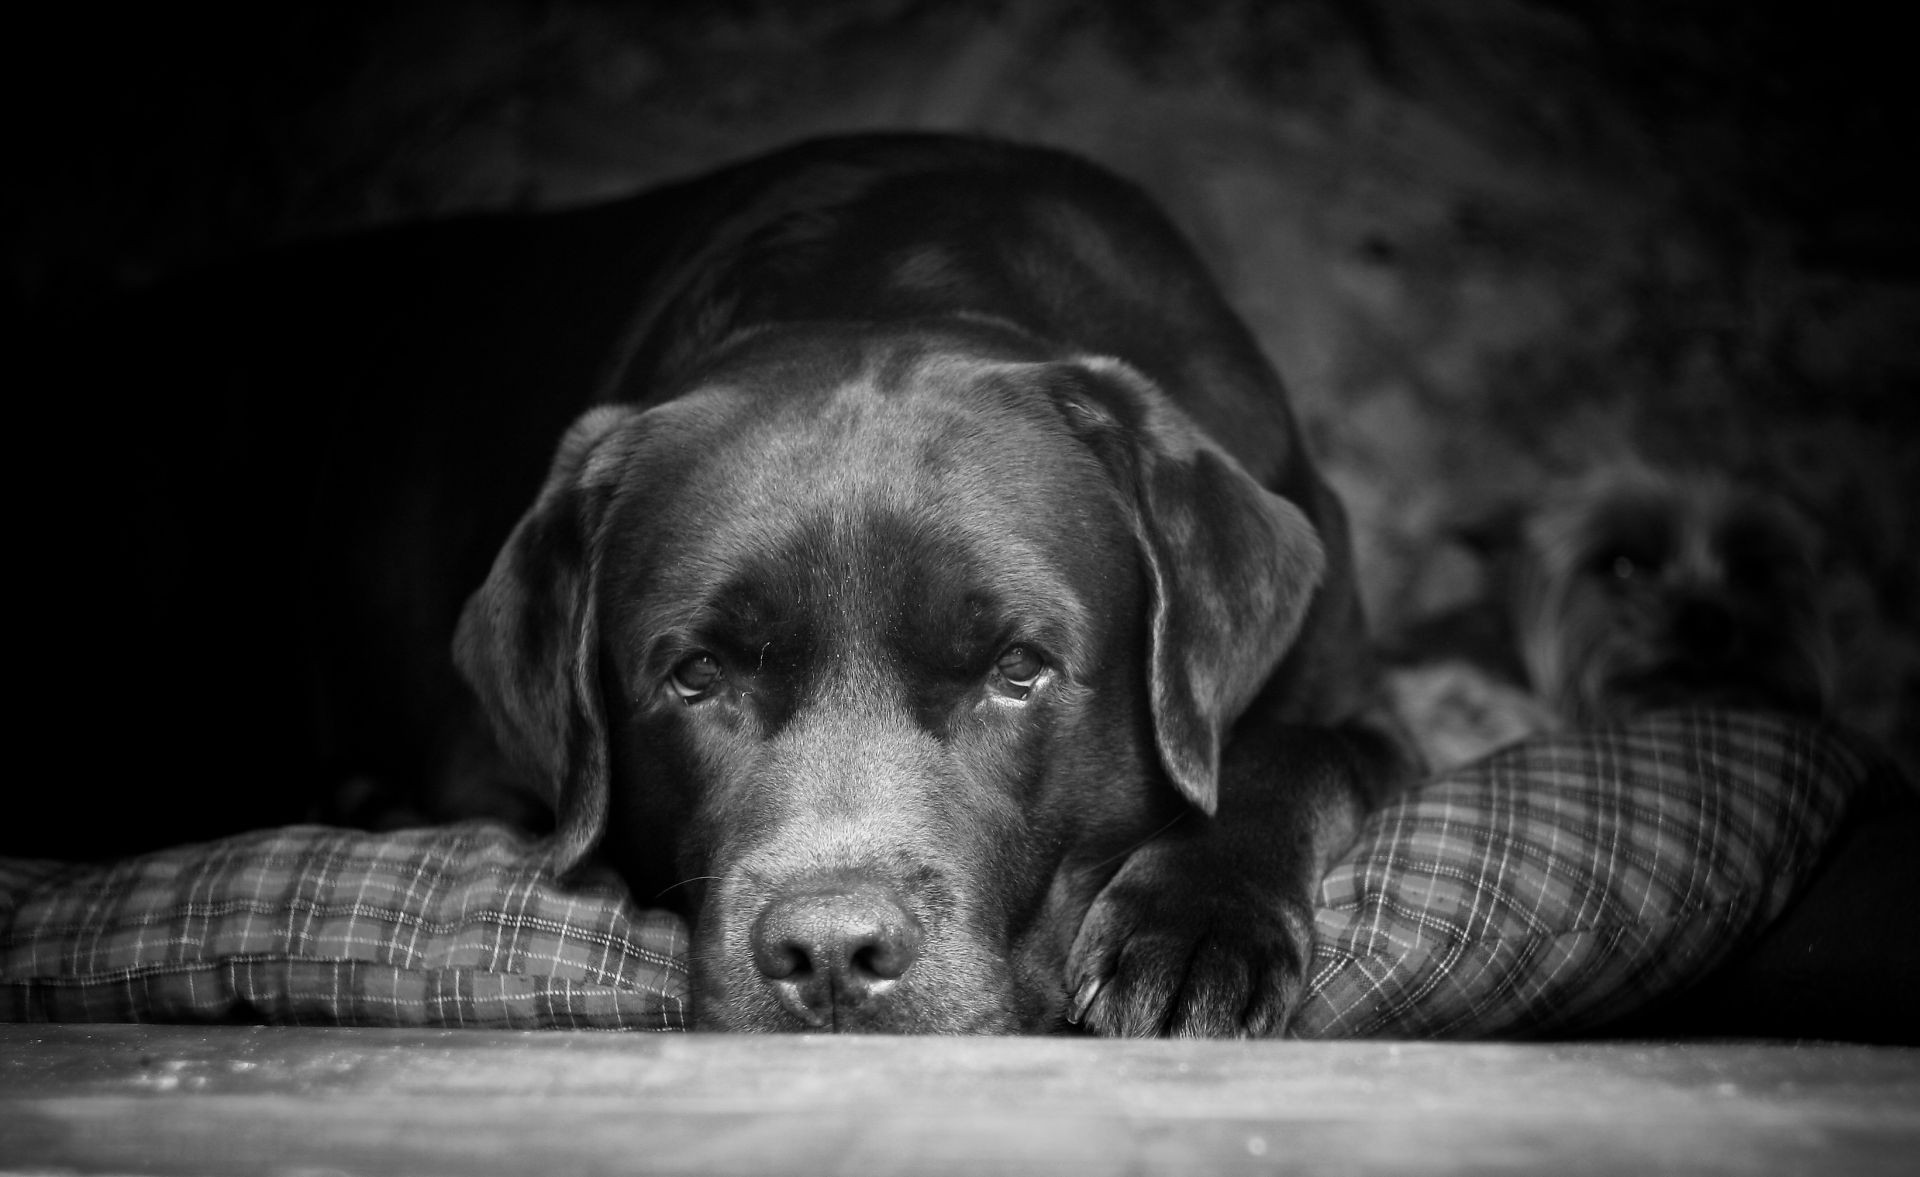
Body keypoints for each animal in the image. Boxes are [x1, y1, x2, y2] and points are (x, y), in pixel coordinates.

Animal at [26, 133, 1413, 1036]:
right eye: (696, 676)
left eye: (1018, 669)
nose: (832, 954)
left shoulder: (1353, 682)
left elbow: (1287, 753)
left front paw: (1197, 932)